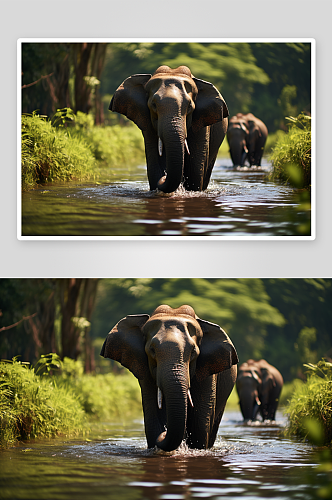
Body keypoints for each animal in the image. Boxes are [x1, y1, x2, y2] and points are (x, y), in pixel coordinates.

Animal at [101, 302, 239, 452]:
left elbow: (200, 421)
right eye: (152, 350)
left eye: (193, 352)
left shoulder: (207, 372)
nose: (164, 433)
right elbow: (154, 414)